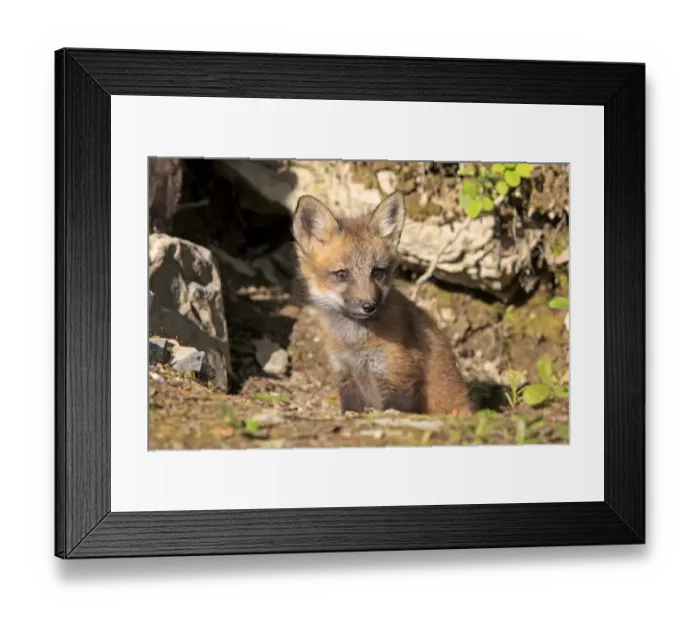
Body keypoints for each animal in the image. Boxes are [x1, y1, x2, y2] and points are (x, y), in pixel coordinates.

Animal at [292, 191, 472, 416]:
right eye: (342, 274)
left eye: (377, 273)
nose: (369, 305)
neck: (354, 343)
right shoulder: (345, 374)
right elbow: (351, 409)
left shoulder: (398, 375)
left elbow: (395, 408)